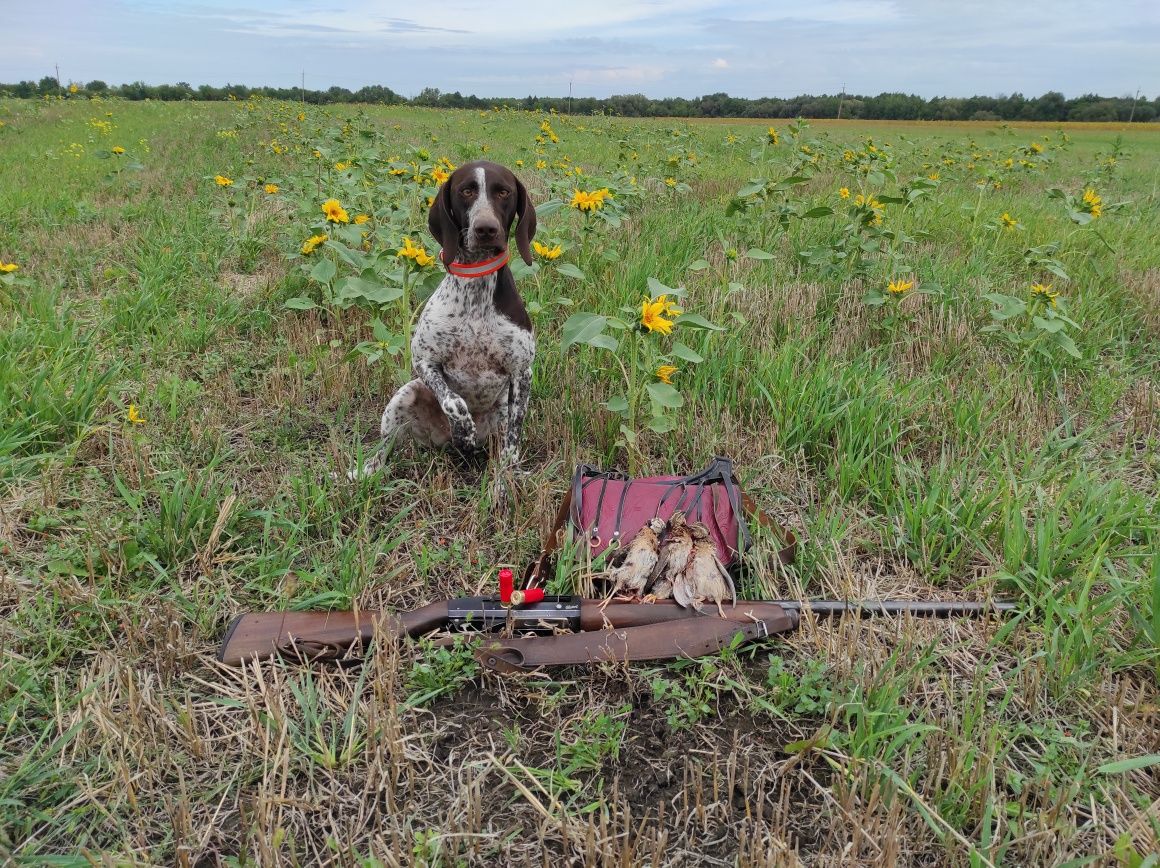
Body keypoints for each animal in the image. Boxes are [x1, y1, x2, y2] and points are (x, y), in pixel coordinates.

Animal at [354, 158, 535, 478]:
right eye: (466, 191)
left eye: (503, 192)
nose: (485, 228)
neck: (475, 295)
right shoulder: (425, 362)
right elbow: (455, 402)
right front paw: (464, 431)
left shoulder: (521, 373)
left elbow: (512, 444)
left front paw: (504, 479)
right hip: (404, 396)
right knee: (383, 452)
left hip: (501, 411)